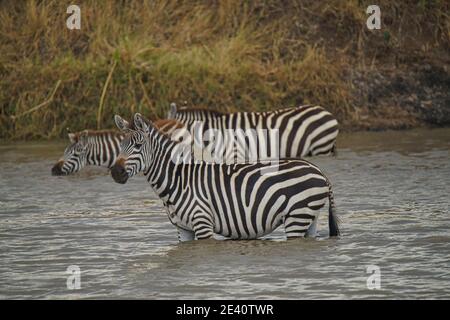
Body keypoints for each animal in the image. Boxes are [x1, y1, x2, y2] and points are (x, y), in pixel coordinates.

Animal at [110, 112, 340, 240]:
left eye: (138, 145)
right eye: (121, 145)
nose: (115, 172)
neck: (178, 181)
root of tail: (319, 171)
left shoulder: (202, 222)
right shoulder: (183, 229)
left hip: (297, 216)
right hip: (310, 218)